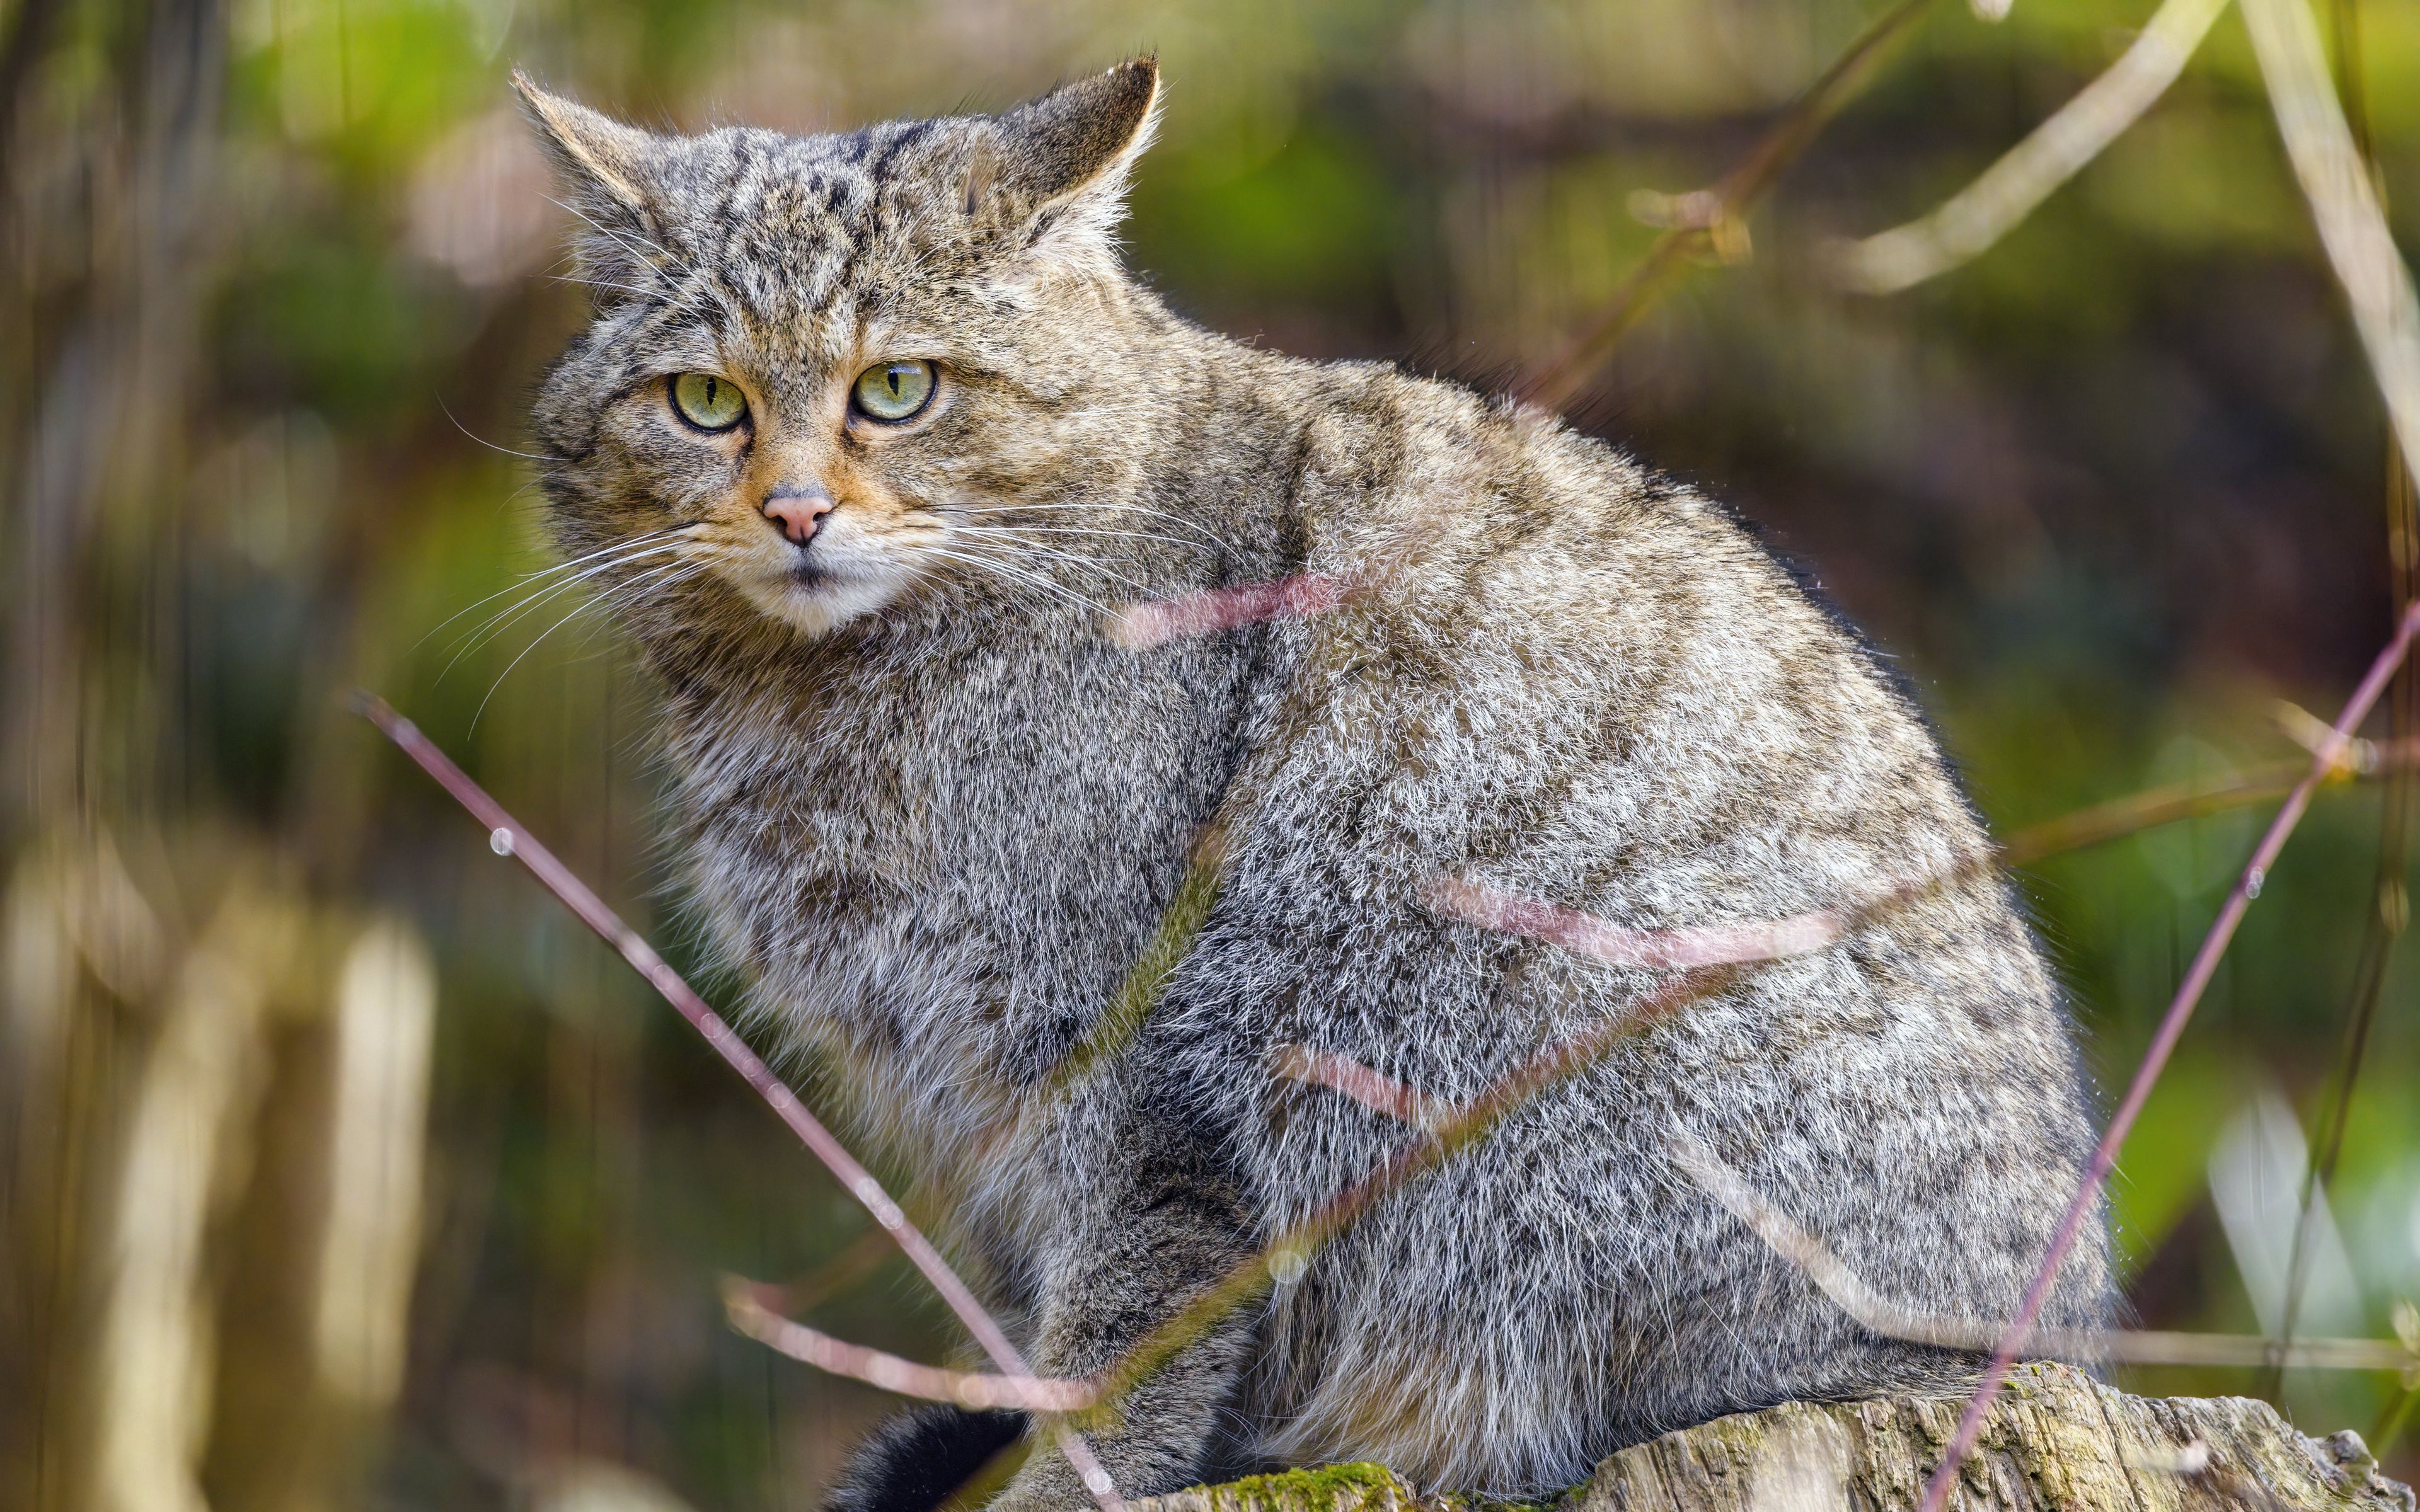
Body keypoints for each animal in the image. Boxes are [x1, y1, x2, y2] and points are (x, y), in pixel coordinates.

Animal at [515, 55, 2119, 1509]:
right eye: (705, 401)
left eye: (895, 388)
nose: (793, 511)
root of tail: (2066, 1342)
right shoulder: (979, 1105)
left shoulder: (1126, 1072)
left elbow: (1131, 1329)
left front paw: (1071, 1481)